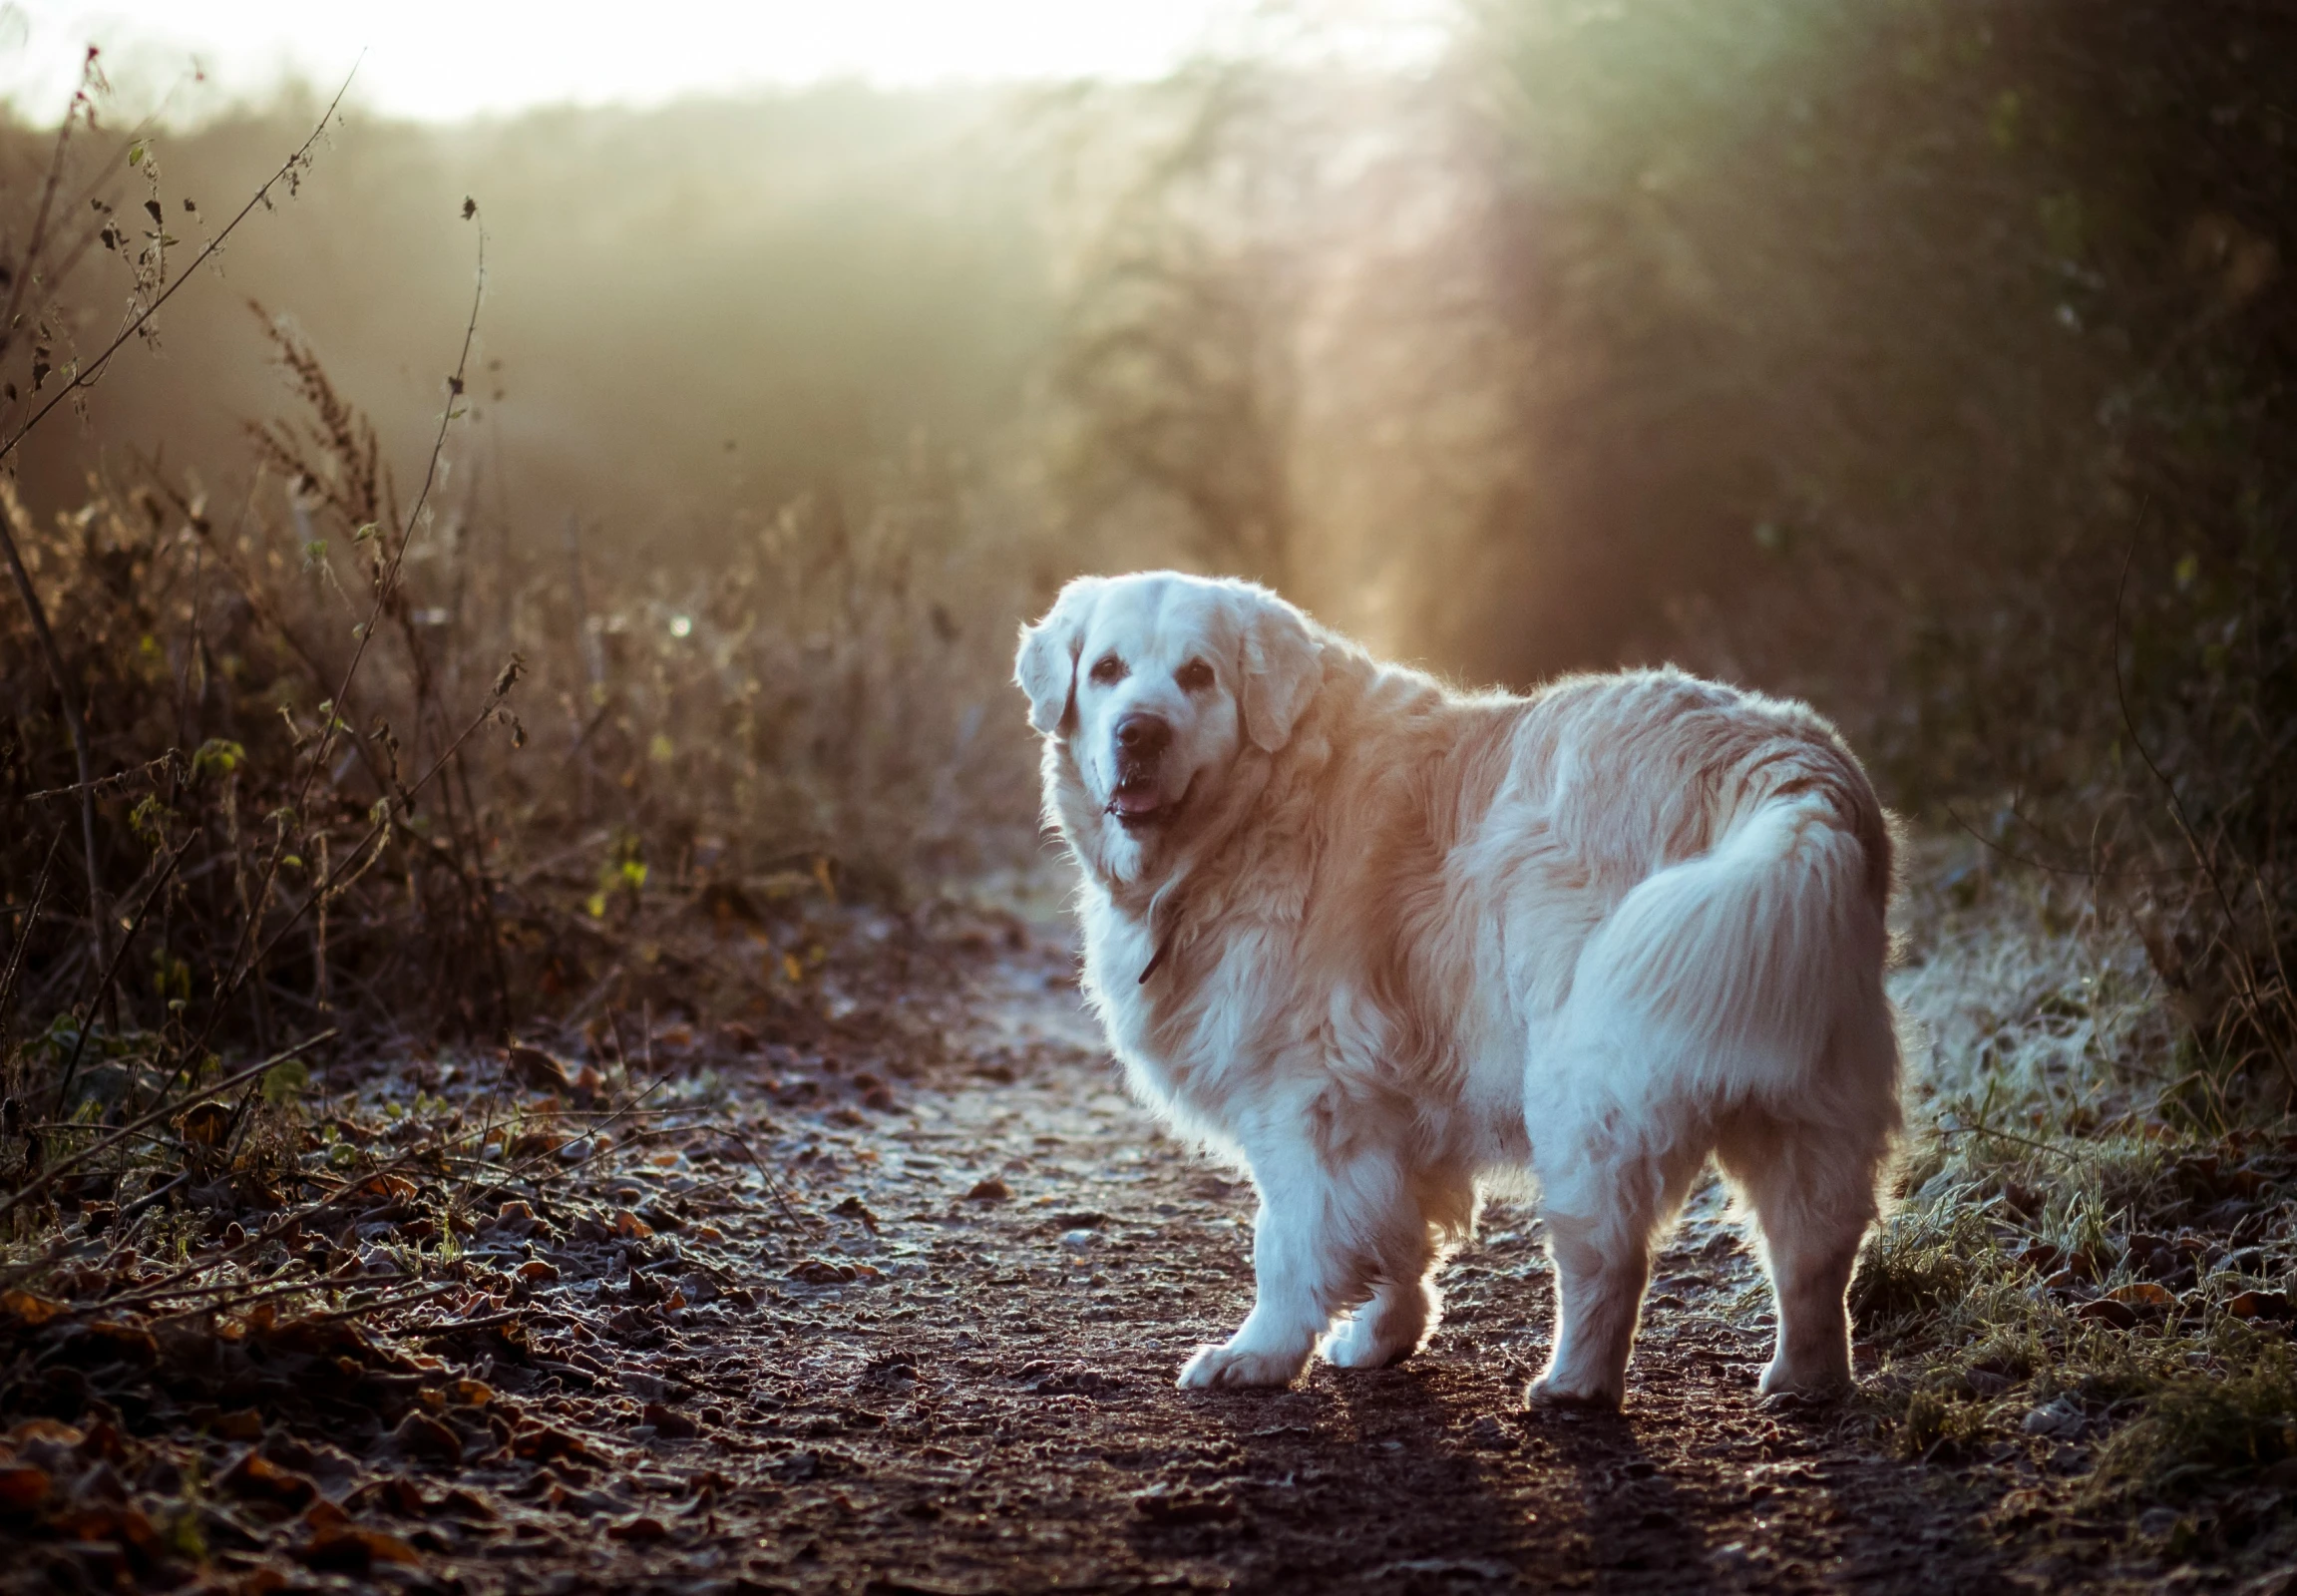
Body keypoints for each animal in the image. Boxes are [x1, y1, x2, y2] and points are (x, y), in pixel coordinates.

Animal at [1019, 576, 1901, 1414]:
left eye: (1198, 675)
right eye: (1106, 670)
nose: (1138, 731)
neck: (1254, 809)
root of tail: (1787, 770)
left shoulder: (1306, 1100)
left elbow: (1290, 1241)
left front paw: (1258, 1356)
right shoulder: (1388, 1109)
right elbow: (1395, 1236)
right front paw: (1382, 1337)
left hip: (1587, 1090)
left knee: (1607, 1256)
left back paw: (1573, 1385)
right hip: (1805, 1088)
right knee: (1814, 1247)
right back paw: (1805, 1380)